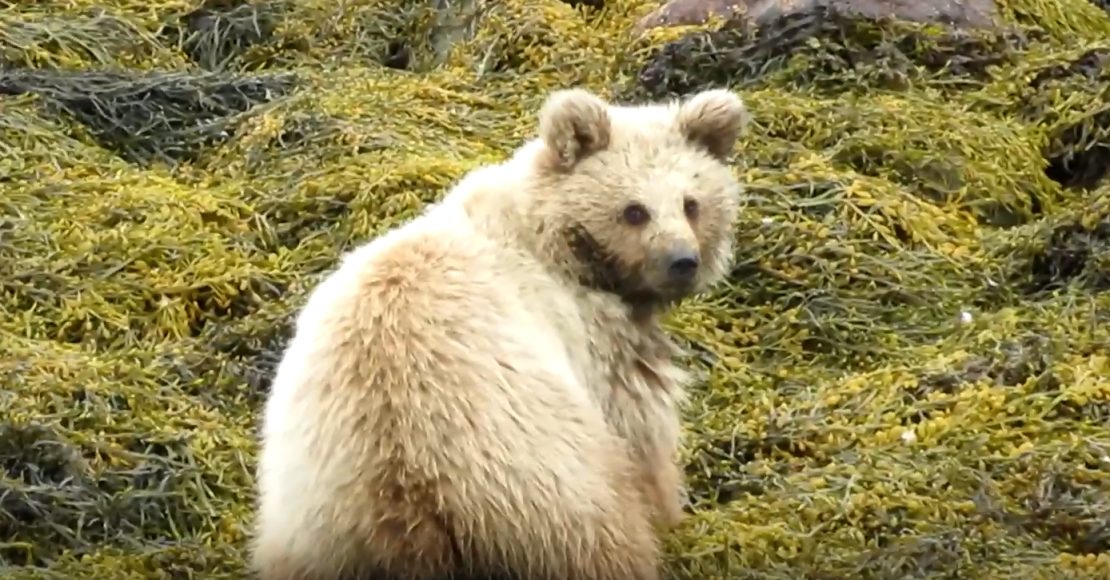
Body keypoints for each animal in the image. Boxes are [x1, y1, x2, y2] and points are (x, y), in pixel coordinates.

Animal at [250, 86, 749, 580]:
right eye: (634, 211)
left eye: (691, 203)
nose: (682, 261)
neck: (561, 243)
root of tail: (409, 496)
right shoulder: (595, 341)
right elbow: (643, 424)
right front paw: (672, 510)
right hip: (542, 485)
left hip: (321, 523)